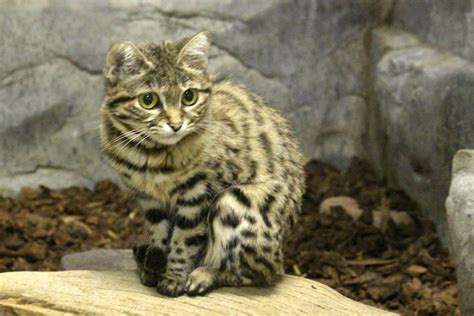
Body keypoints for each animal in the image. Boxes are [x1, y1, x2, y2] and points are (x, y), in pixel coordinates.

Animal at [101, 30, 306, 296]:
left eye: (189, 96)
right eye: (148, 100)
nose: (176, 125)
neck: (151, 157)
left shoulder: (198, 196)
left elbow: (184, 240)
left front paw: (174, 278)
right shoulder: (150, 200)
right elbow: (159, 235)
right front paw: (155, 266)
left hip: (236, 203)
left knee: (263, 272)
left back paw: (203, 276)